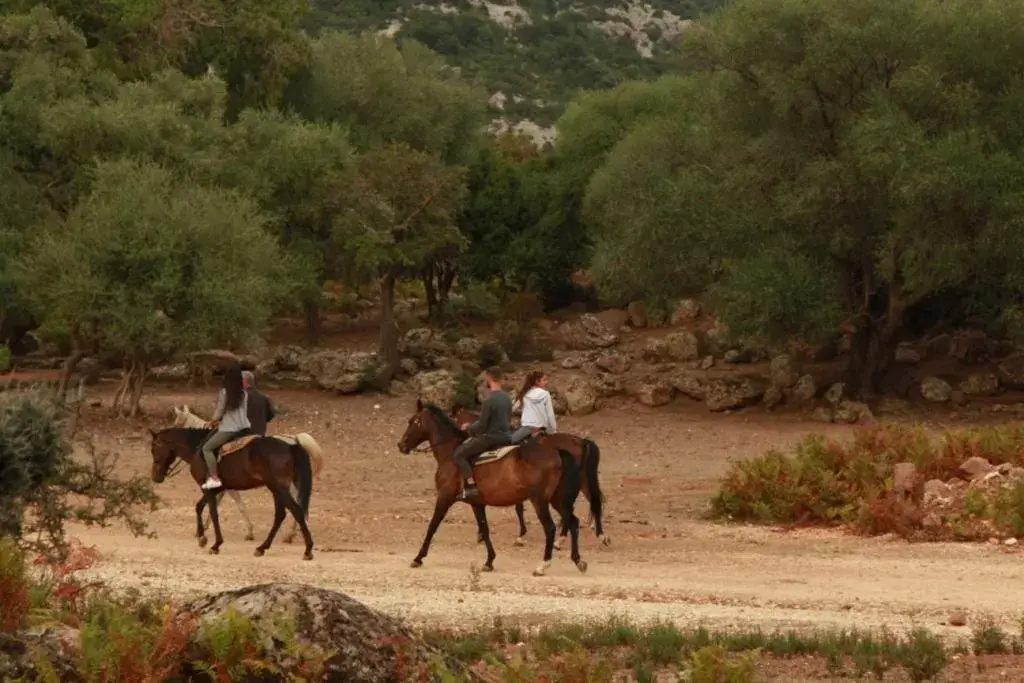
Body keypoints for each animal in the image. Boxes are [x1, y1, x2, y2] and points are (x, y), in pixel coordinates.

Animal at [149, 428, 313, 561]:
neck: (197, 448)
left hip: (278, 488)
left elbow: (213, 513)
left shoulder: (208, 490)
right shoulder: (215, 489)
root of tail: (290, 446)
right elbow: (199, 507)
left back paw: (307, 550)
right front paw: (202, 537)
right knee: (280, 515)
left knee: (296, 511)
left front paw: (216, 545)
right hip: (276, 489)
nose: (155, 477)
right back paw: (262, 548)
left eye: (154, 448)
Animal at [452, 409, 602, 548]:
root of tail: (581, 441)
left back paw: (565, 537)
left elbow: (517, 507)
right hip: (581, 481)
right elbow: (518, 506)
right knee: (591, 500)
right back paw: (597, 534)